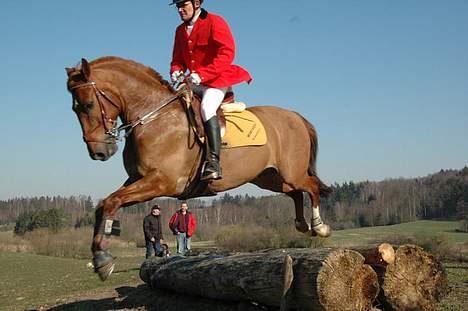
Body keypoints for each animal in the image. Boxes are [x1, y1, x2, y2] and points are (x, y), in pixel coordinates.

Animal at [66, 56, 332, 282]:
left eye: (87, 105)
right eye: (75, 109)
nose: (98, 153)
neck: (153, 118)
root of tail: (296, 116)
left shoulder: (160, 182)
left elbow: (112, 201)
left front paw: (102, 259)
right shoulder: (137, 179)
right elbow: (105, 204)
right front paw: (100, 258)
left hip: (290, 173)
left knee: (311, 186)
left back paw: (319, 226)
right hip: (269, 178)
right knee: (295, 192)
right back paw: (302, 224)